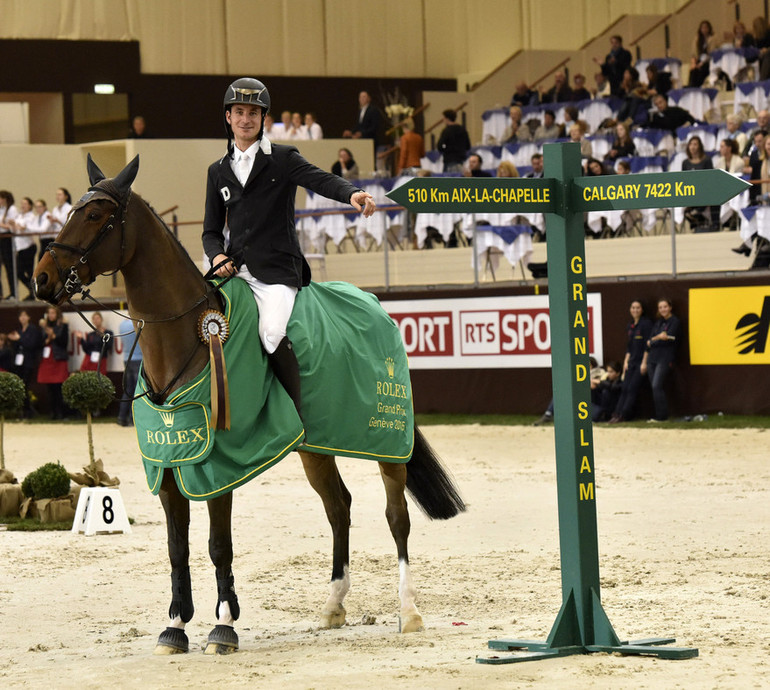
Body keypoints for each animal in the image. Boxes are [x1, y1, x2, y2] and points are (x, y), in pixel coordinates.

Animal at [30, 155, 464, 652]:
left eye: (96, 215)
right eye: (71, 212)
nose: (41, 278)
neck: (188, 338)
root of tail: (374, 305)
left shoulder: (218, 466)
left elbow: (219, 545)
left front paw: (223, 626)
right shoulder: (169, 467)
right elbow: (177, 548)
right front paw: (174, 627)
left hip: (388, 440)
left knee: (397, 517)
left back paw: (408, 612)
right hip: (315, 448)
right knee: (339, 507)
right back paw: (333, 606)